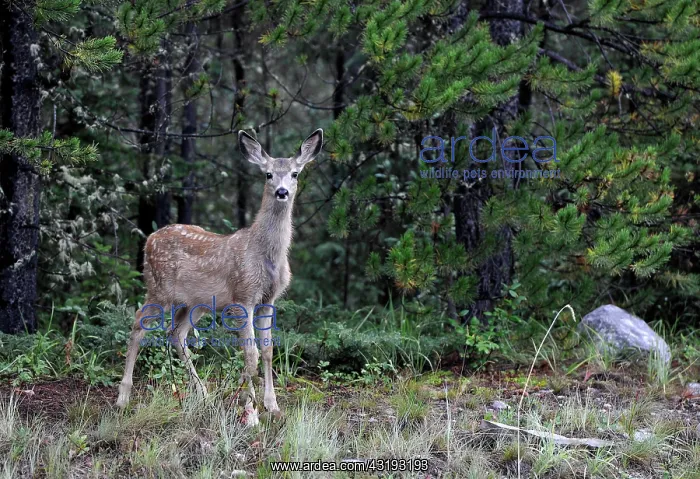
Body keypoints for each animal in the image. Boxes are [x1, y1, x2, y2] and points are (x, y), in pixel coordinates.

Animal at [116, 129, 324, 426]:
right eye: (268, 174)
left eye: (295, 173)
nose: (282, 192)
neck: (265, 254)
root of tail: (149, 238)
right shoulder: (242, 296)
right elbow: (250, 353)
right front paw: (250, 412)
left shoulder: (268, 300)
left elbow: (268, 350)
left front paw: (272, 406)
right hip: (158, 288)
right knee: (137, 325)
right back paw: (123, 398)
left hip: (196, 302)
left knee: (175, 333)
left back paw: (202, 394)